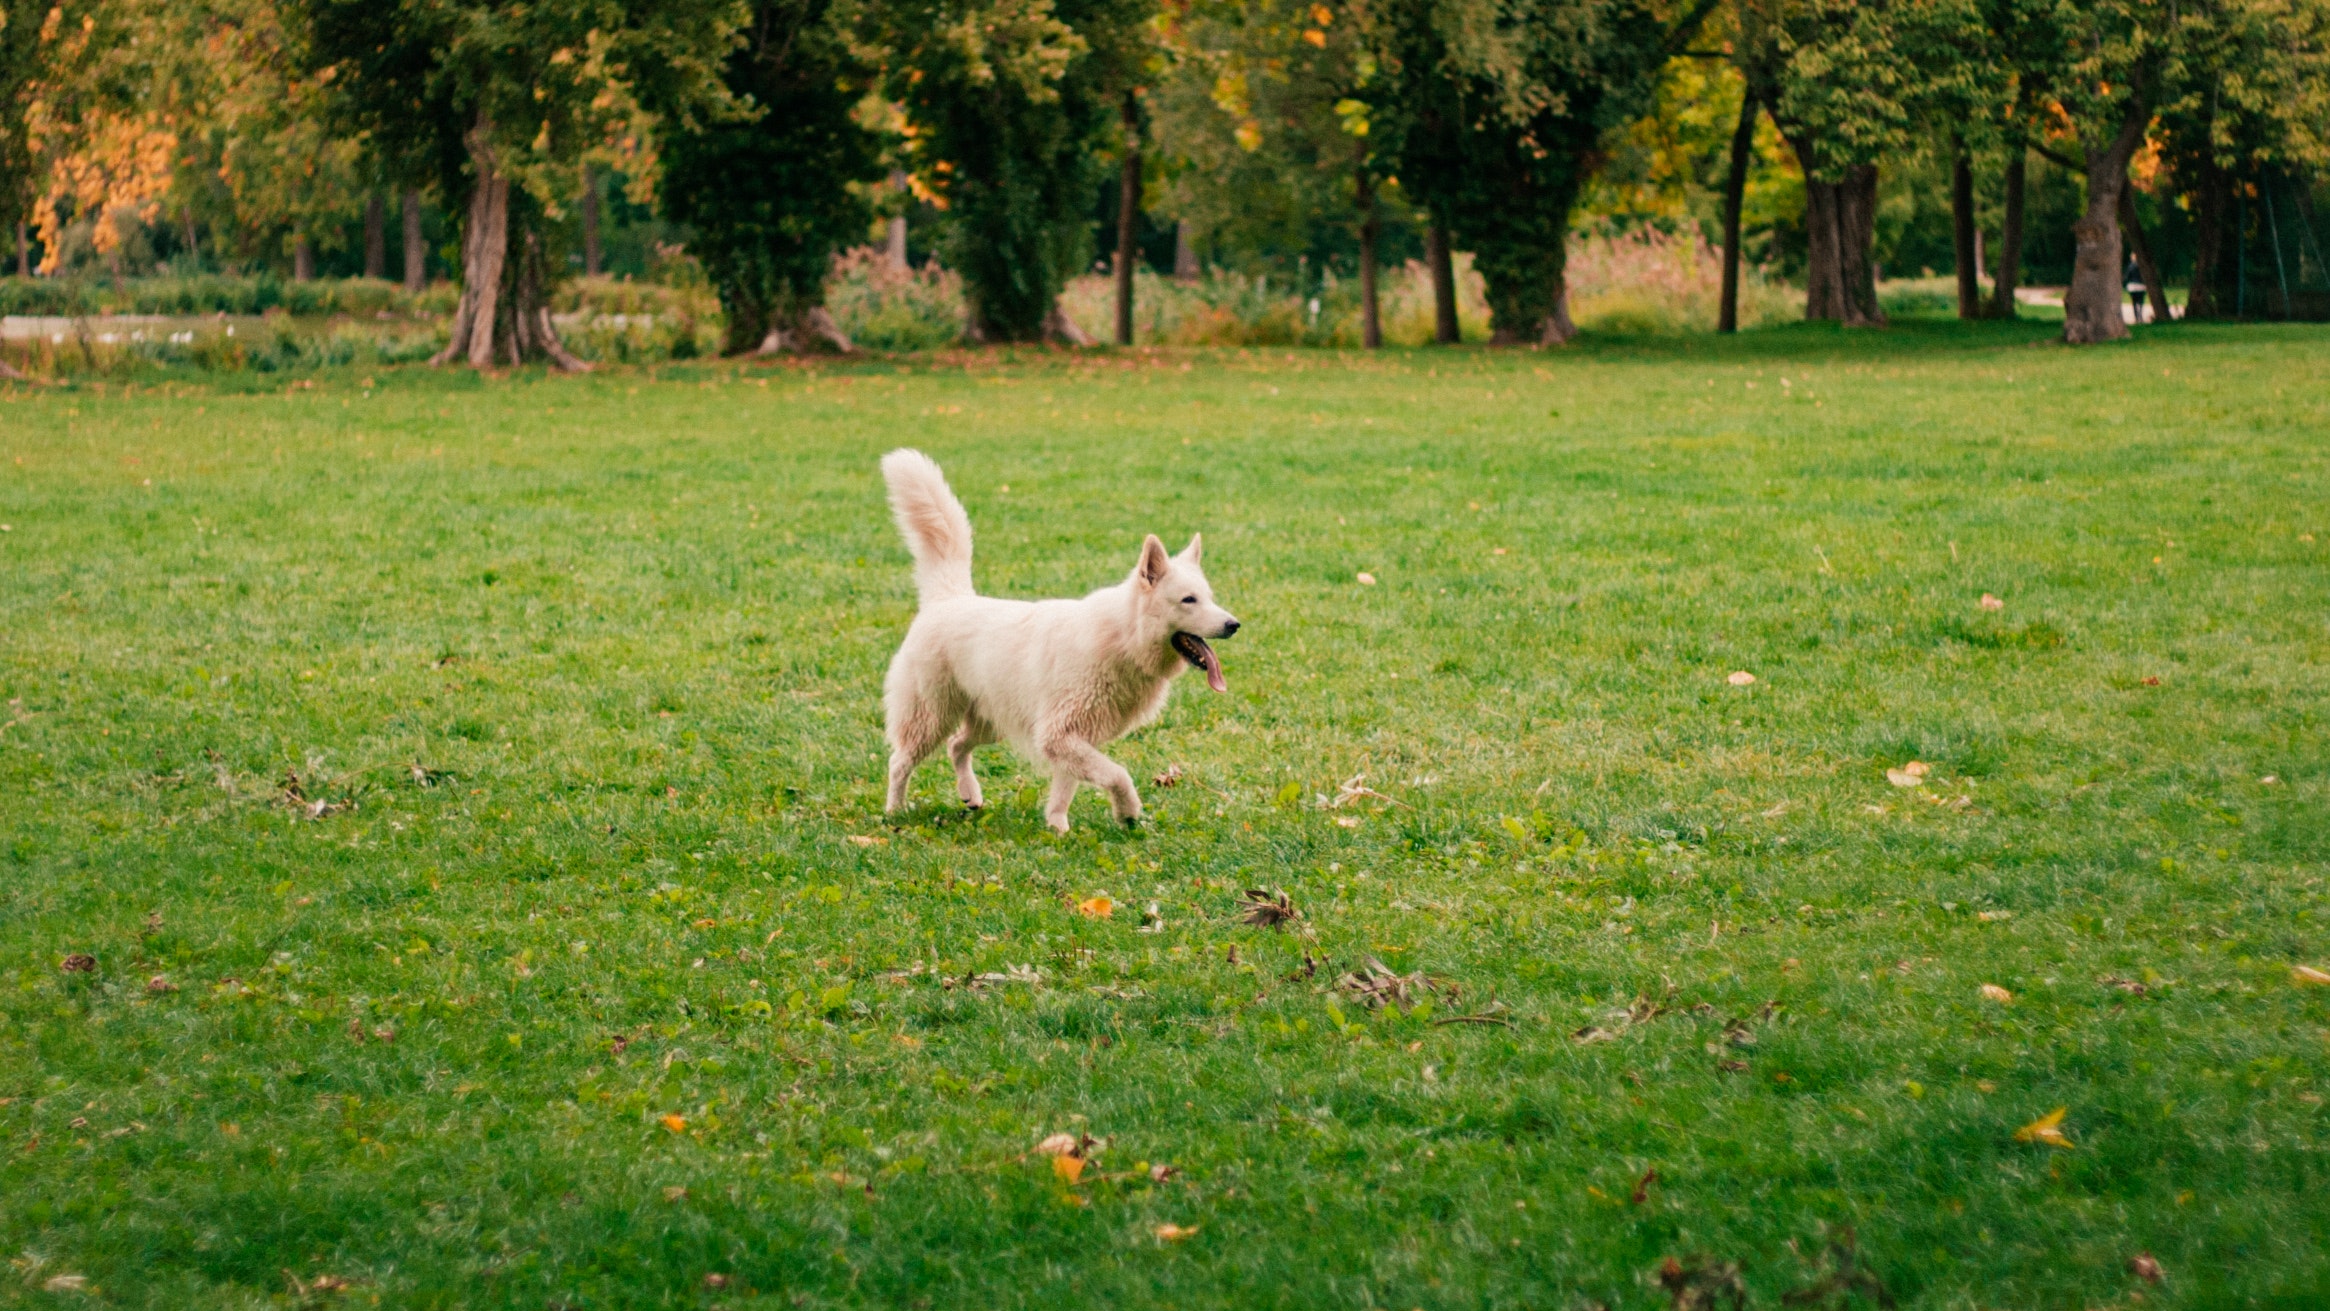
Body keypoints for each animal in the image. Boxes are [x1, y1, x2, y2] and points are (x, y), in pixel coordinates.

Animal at [876, 449, 1239, 828]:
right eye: (1188, 600)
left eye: (1209, 597)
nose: (1234, 624)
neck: (1122, 638)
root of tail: (948, 597)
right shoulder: (1060, 735)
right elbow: (1117, 774)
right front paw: (1127, 812)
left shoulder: (1068, 737)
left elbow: (1065, 788)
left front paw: (1057, 827)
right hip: (929, 717)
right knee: (900, 761)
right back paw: (895, 811)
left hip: (993, 720)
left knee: (957, 745)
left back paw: (970, 795)